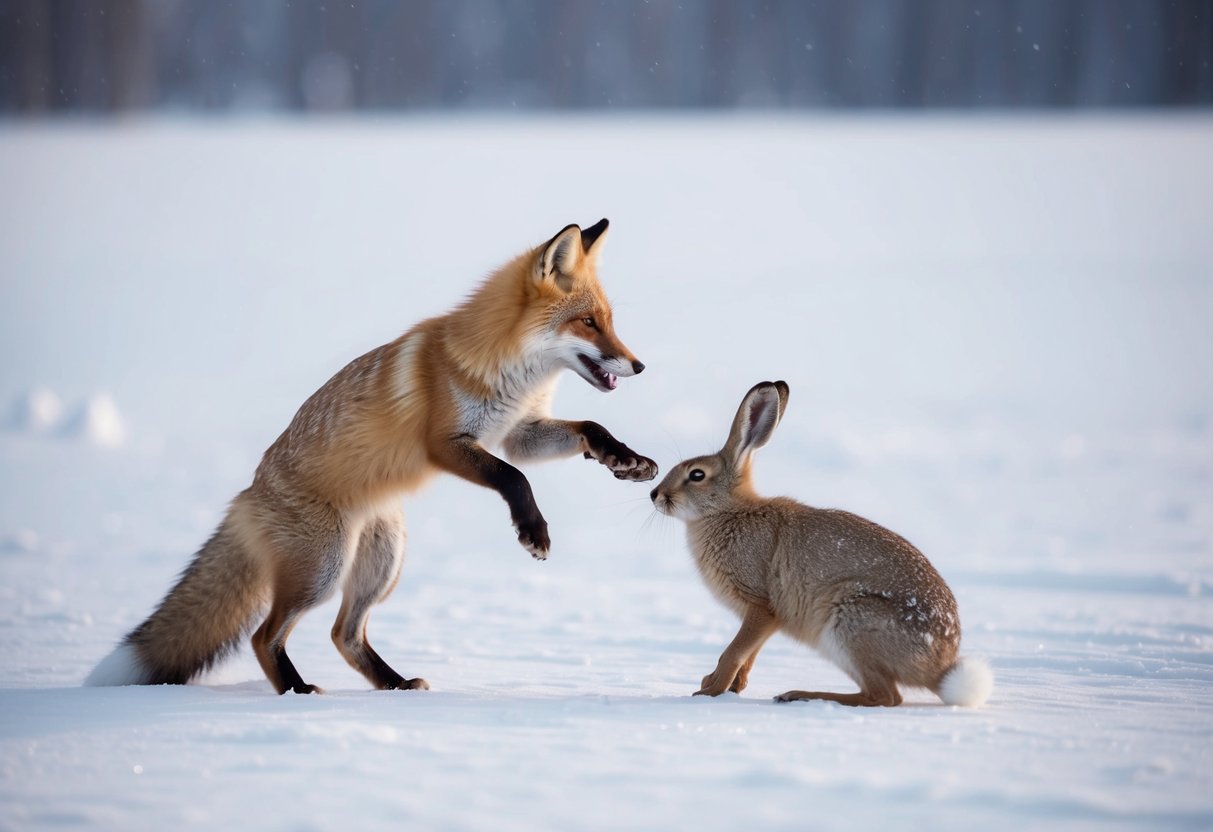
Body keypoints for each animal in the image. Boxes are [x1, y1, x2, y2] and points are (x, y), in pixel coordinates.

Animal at [86, 218, 657, 694]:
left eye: (609, 320)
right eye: (588, 322)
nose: (639, 365)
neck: (512, 374)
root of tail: (246, 496)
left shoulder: (519, 430)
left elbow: (587, 429)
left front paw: (626, 460)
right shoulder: (446, 444)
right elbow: (514, 477)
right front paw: (533, 531)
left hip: (383, 560)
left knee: (344, 634)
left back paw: (395, 685)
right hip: (324, 567)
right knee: (264, 636)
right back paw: (297, 692)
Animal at [650, 380, 992, 707]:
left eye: (697, 475)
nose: (655, 494)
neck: (727, 511)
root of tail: (940, 670)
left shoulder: (761, 605)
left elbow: (734, 652)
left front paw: (709, 692)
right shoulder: (764, 619)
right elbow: (749, 655)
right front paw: (724, 686)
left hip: (851, 622)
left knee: (884, 696)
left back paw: (798, 695)